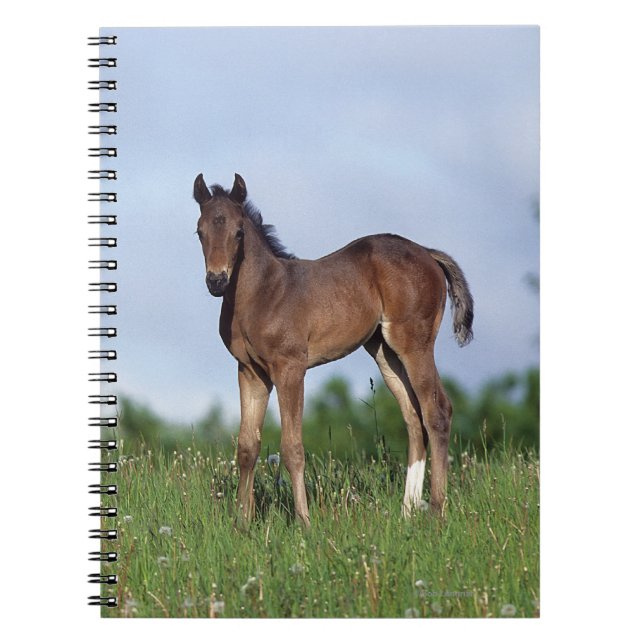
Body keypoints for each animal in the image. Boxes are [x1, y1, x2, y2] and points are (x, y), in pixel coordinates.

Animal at [194, 173, 473, 528]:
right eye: (199, 231)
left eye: (238, 232)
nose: (216, 281)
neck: (263, 293)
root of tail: (427, 252)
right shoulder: (250, 372)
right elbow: (246, 447)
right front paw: (242, 524)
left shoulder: (290, 368)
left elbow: (292, 447)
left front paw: (304, 521)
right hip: (384, 351)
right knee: (413, 417)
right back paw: (406, 512)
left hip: (414, 343)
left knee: (436, 410)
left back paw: (436, 510)